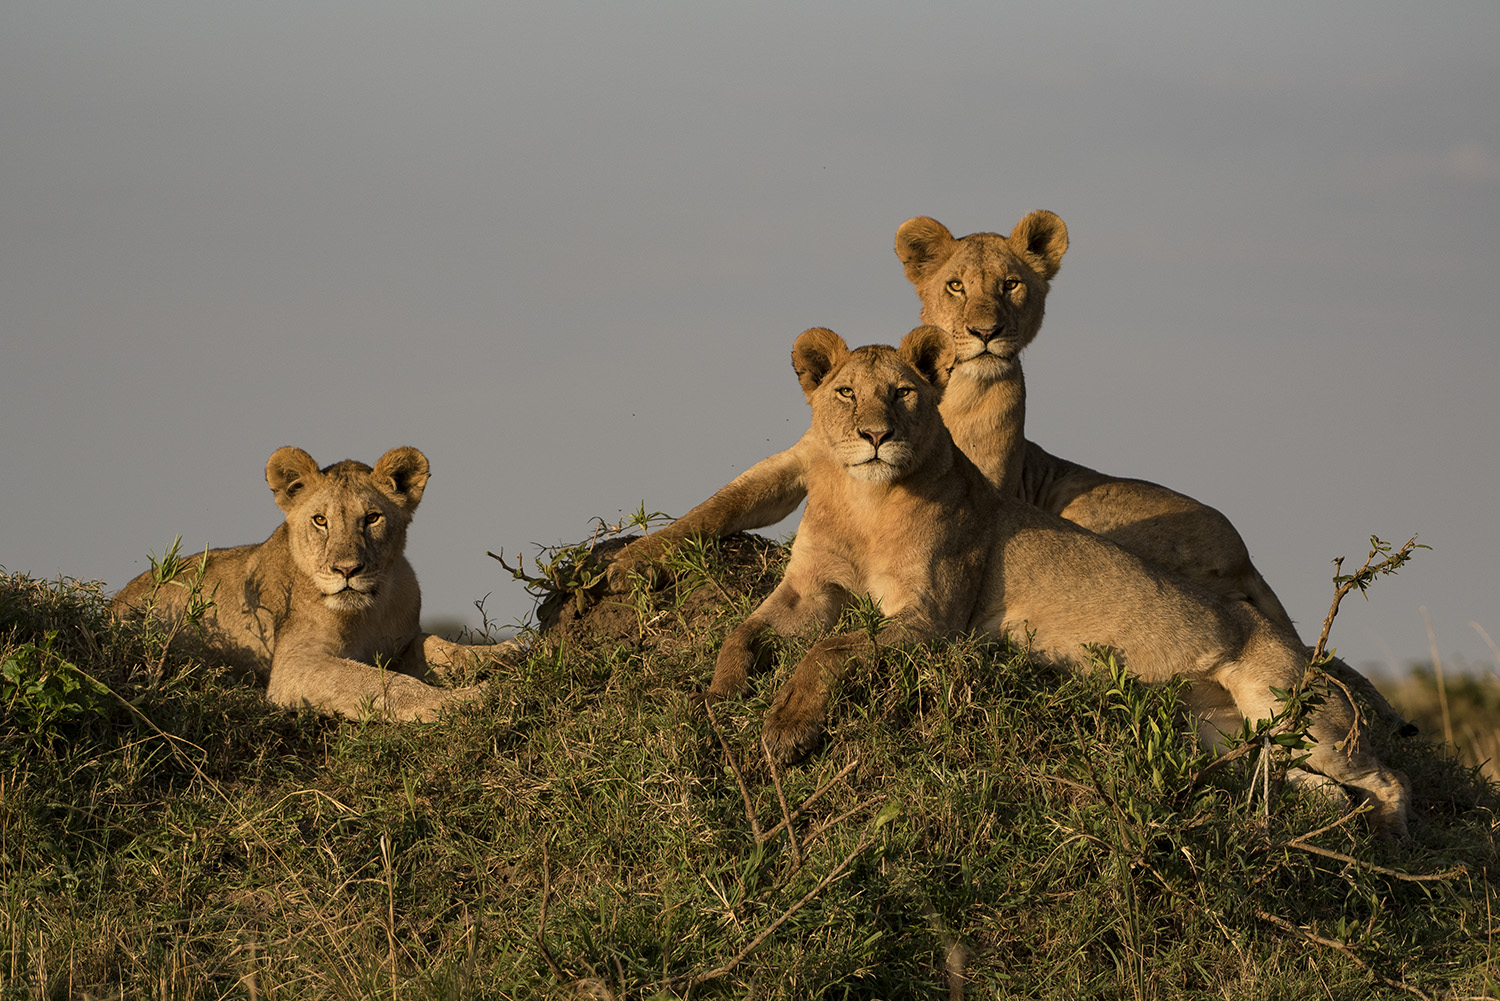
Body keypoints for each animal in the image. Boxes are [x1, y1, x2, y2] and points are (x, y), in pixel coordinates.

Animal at [111, 447, 516, 720]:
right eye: (321, 520)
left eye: (372, 518)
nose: (347, 570)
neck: (367, 612)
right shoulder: (295, 666)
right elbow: (382, 683)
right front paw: (463, 700)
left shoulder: (400, 644)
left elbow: (437, 645)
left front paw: (502, 653)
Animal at [708, 327, 1410, 840]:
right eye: (848, 393)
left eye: (903, 393)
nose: (875, 435)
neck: (865, 501)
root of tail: (1297, 646)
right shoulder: (811, 587)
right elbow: (743, 632)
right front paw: (720, 695)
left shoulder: (933, 620)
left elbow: (830, 651)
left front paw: (784, 729)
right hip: (1231, 733)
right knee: (1322, 791)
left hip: (1289, 706)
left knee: (1387, 778)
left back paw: (1391, 839)